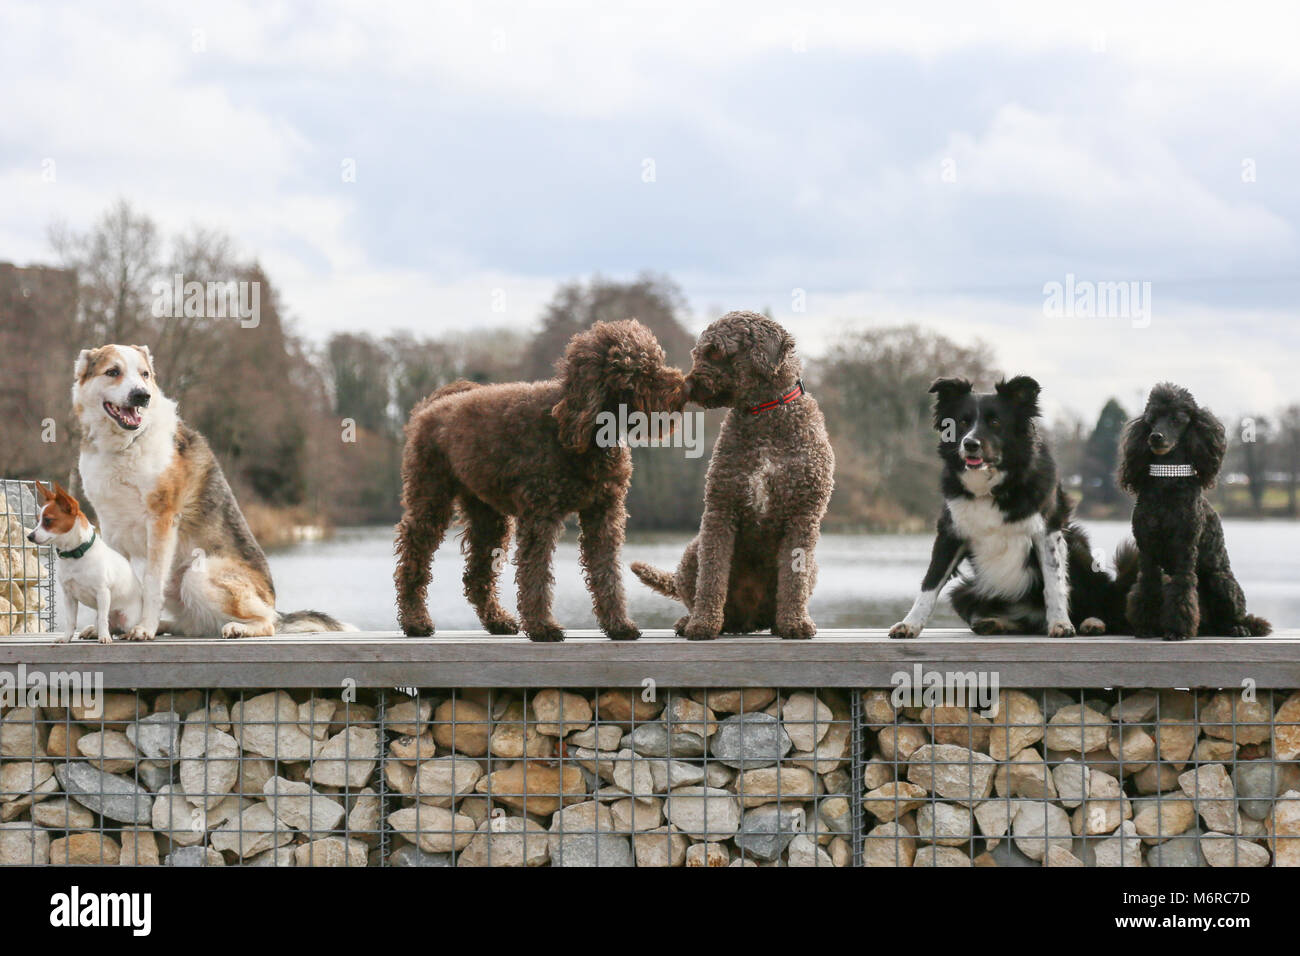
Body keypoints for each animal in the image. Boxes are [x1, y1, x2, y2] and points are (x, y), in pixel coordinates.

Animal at [26, 481, 141, 647]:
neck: (75, 556)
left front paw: (104, 638)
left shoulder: (103, 593)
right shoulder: (69, 597)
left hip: (127, 619)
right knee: (108, 626)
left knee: (118, 626)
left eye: (47, 520)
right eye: (37, 521)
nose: (29, 536)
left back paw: (122, 634)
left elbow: (103, 619)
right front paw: (66, 638)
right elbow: (70, 620)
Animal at [71, 345, 353, 642]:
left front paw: (143, 628)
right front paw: (109, 628)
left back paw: (236, 628)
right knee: (193, 625)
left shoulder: (161, 520)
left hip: (197, 574)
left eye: (145, 374)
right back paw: (165, 626)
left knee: (267, 624)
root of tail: (273, 604)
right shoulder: (110, 524)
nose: (142, 396)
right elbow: (117, 582)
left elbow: (150, 584)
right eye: (113, 372)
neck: (126, 445)